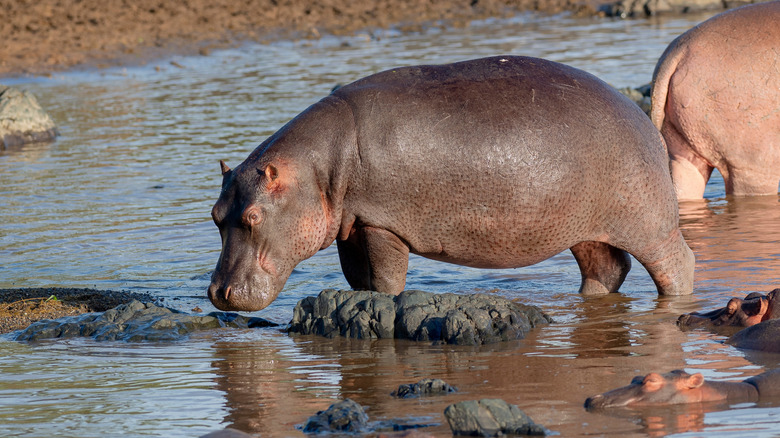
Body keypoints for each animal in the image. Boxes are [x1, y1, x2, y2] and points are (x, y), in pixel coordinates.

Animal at [208, 55, 695, 312]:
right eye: (215, 216)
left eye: (253, 217)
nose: (216, 293)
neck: (318, 170)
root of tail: (641, 117)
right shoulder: (352, 225)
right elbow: (357, 277)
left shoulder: (382, 225)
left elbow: (385, 279)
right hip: (585, 228)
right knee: (606, 269)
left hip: (649, 223)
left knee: (676, 264)